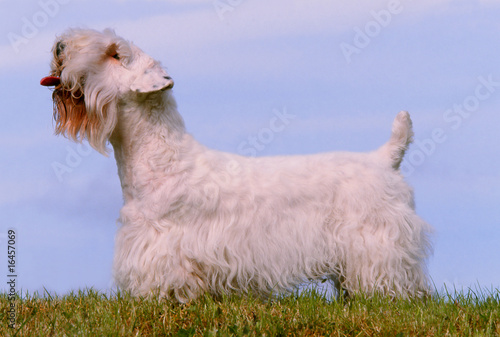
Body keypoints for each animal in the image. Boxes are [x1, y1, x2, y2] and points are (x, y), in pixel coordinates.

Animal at [42, 28, 434, 302]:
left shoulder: (162, 247)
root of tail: (384, 158)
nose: (59, 45)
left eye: (114, 54)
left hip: (377, 242)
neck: (161, 158)